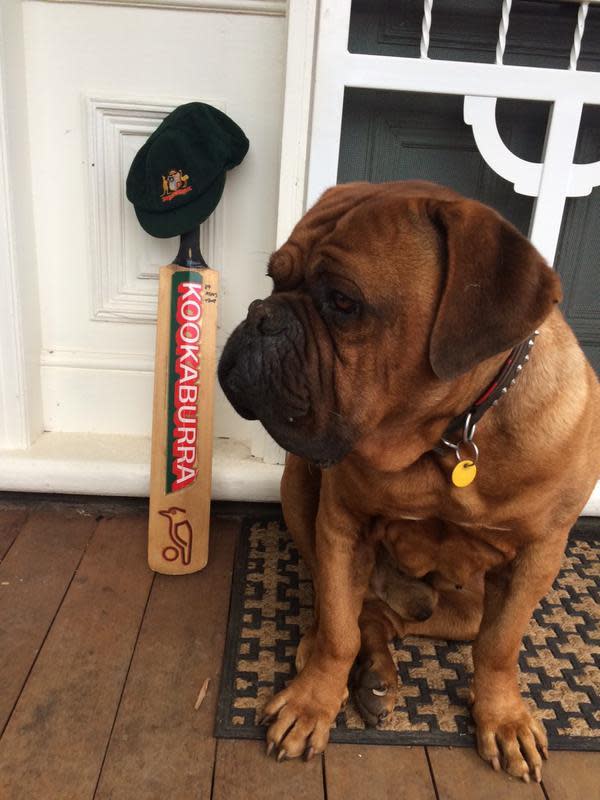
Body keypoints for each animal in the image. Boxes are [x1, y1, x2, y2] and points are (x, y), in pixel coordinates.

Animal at [219, 181, 600, 780]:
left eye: (343, 303)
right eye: (274, 278)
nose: (261, 314)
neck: (447, 436)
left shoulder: (537, 558)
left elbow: (499, 648)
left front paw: (504, 718)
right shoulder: (342, 526)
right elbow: (339, 632)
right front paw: (311, 702)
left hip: (465, 608)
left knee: (390, 619)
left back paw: (377, 676)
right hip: (299, 487)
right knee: (347, 611)